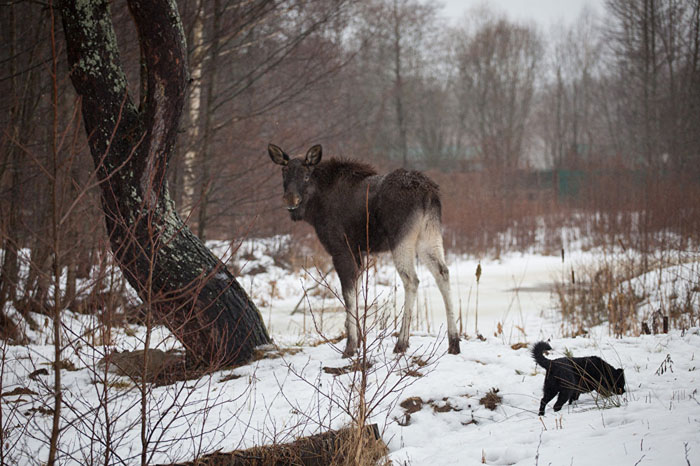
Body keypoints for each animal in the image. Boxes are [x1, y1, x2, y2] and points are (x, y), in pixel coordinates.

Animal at [268, 143, 460, 357]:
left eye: (306, 174)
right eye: (284, 171)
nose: (290, 199)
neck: (315, 209)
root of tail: (429, 194)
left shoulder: (340, 249)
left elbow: (348, 296)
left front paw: (350, 346)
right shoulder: (359, 251)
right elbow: (357, 291)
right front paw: (358, 340)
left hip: (401, 239)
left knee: (412, 280)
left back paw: (402, 343)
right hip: (429, 236)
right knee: (442, 272)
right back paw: (453, 342)